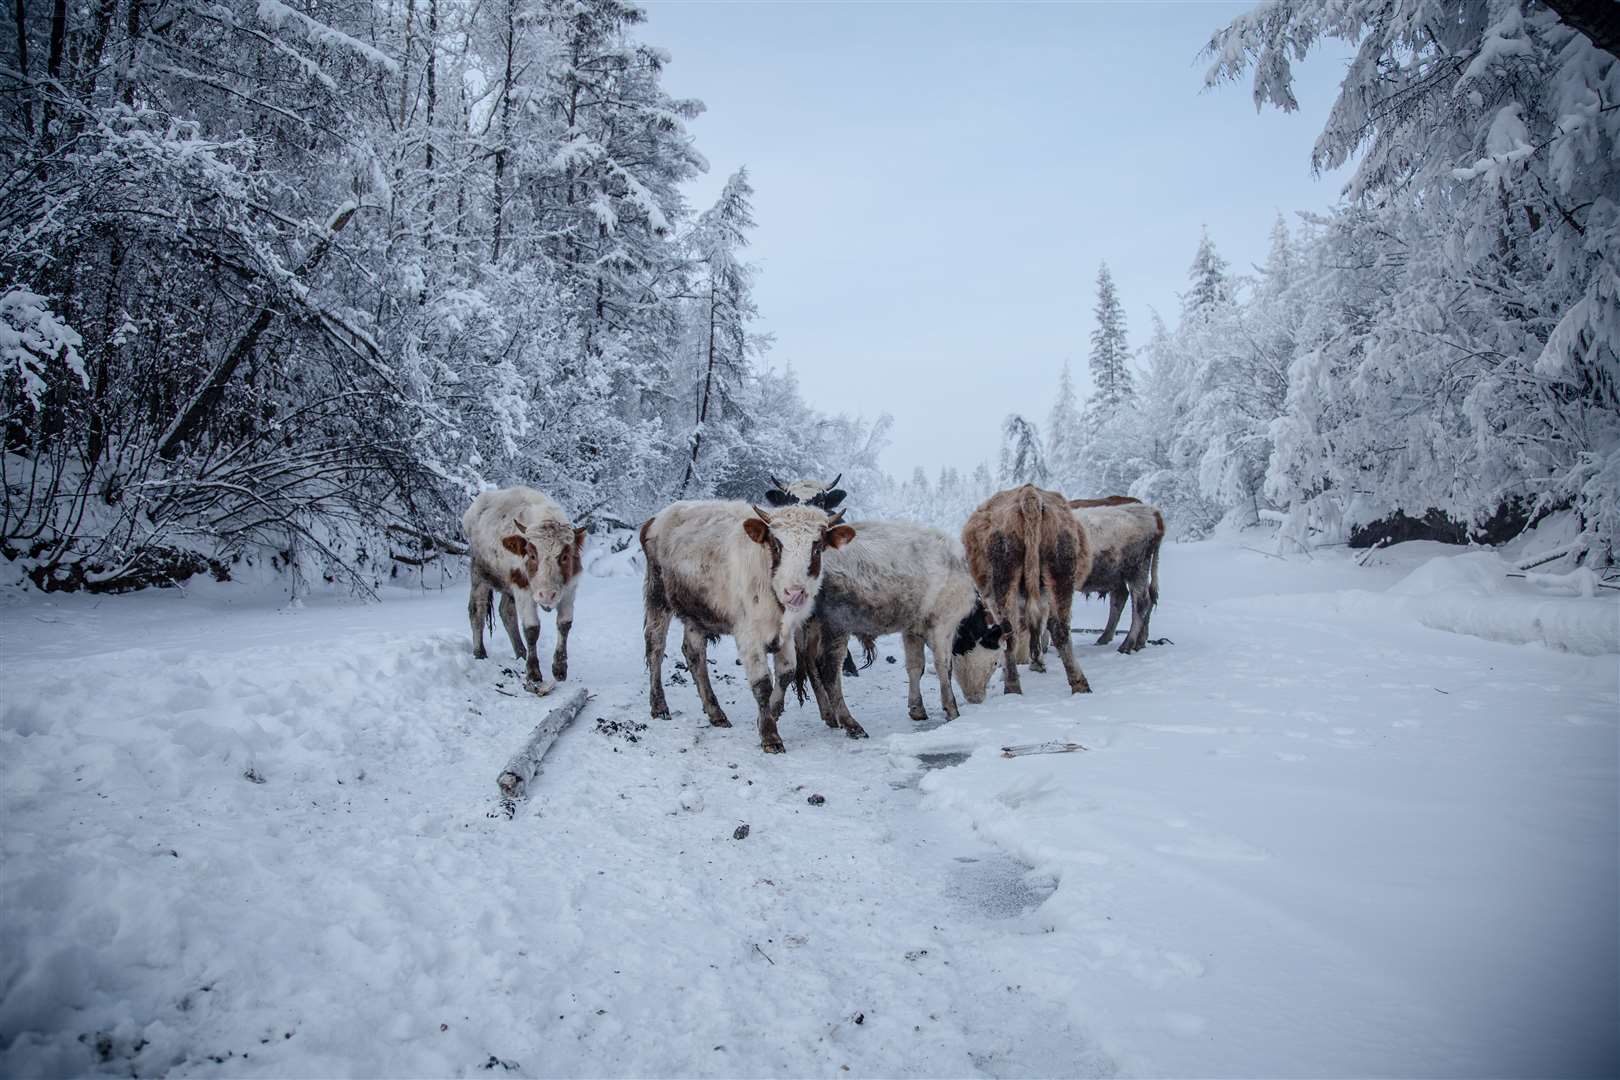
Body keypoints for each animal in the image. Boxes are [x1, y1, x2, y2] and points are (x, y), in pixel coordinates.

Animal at [463, 485, 589, 689]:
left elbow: (564, 625)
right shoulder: (522, 587)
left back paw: (521, 652)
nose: (547, 595)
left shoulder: (570, 588)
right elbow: (531, 629)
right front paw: (533, 672)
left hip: (507, 586)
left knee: (506, 612)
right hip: (480, 573)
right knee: (477, 611)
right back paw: (480, 653)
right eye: (532, 555)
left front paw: (560, 669)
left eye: (564, 556)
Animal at [635, 501, 855, 748]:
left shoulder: (788, 633)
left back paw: (716, 713)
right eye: (777, 546)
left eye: (816, 549)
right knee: (655, 647)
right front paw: (769, 735)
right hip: (657, 596)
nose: (794, 593)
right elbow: (762, 683)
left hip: (696, 612)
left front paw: (770, 715)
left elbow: (786, 672)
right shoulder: (749, 634)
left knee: (694, 654)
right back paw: (659, 706)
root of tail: (657, 517)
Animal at [793, 521, 1004, 735]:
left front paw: (917, 709)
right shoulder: (942, 626)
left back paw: (830, 716)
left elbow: (915, 666)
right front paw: (951, 709)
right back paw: (850, 723)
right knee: (828, 671)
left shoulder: (912, 629)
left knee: (811, 666)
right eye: (995, 662)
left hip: (809, 627)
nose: (978, 698)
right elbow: (943, 666)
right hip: (836, 625)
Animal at [952, 485, 1095, 696]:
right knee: (1059, 629)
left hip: (1004, 580)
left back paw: (1012, 685)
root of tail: (1029, 494)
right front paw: (1037, 663)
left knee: (1010, 632)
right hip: (1059, 574)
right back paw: (1079, 683)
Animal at [1075, 501, 1166, 654]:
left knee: (1141, 602)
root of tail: (1152, 512)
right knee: (1124, 598)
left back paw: (1127, 645)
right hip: (1120, 576)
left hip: (1136, 571)